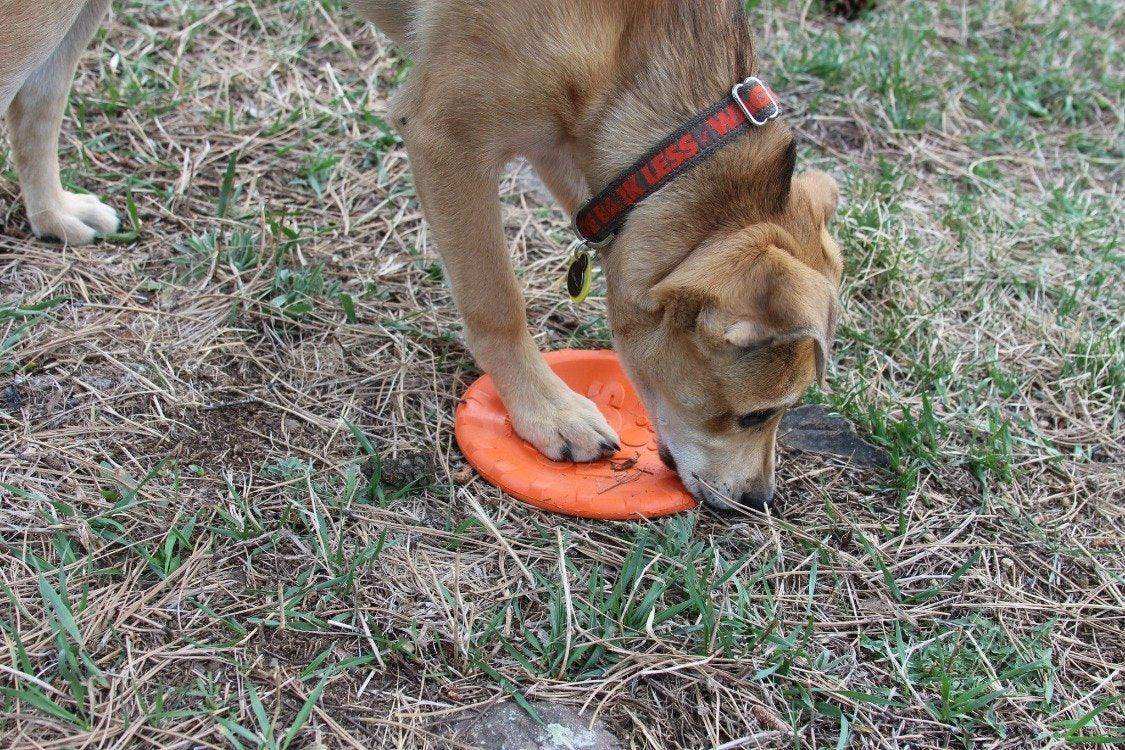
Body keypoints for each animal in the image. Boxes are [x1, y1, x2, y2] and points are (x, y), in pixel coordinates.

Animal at [2, 0, 846, 510]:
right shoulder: (448, 135)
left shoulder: (573, 149)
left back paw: (55, 216)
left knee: (35, 102)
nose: (760, 501)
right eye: (755, 413)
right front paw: (542, 410)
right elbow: (496, 301)